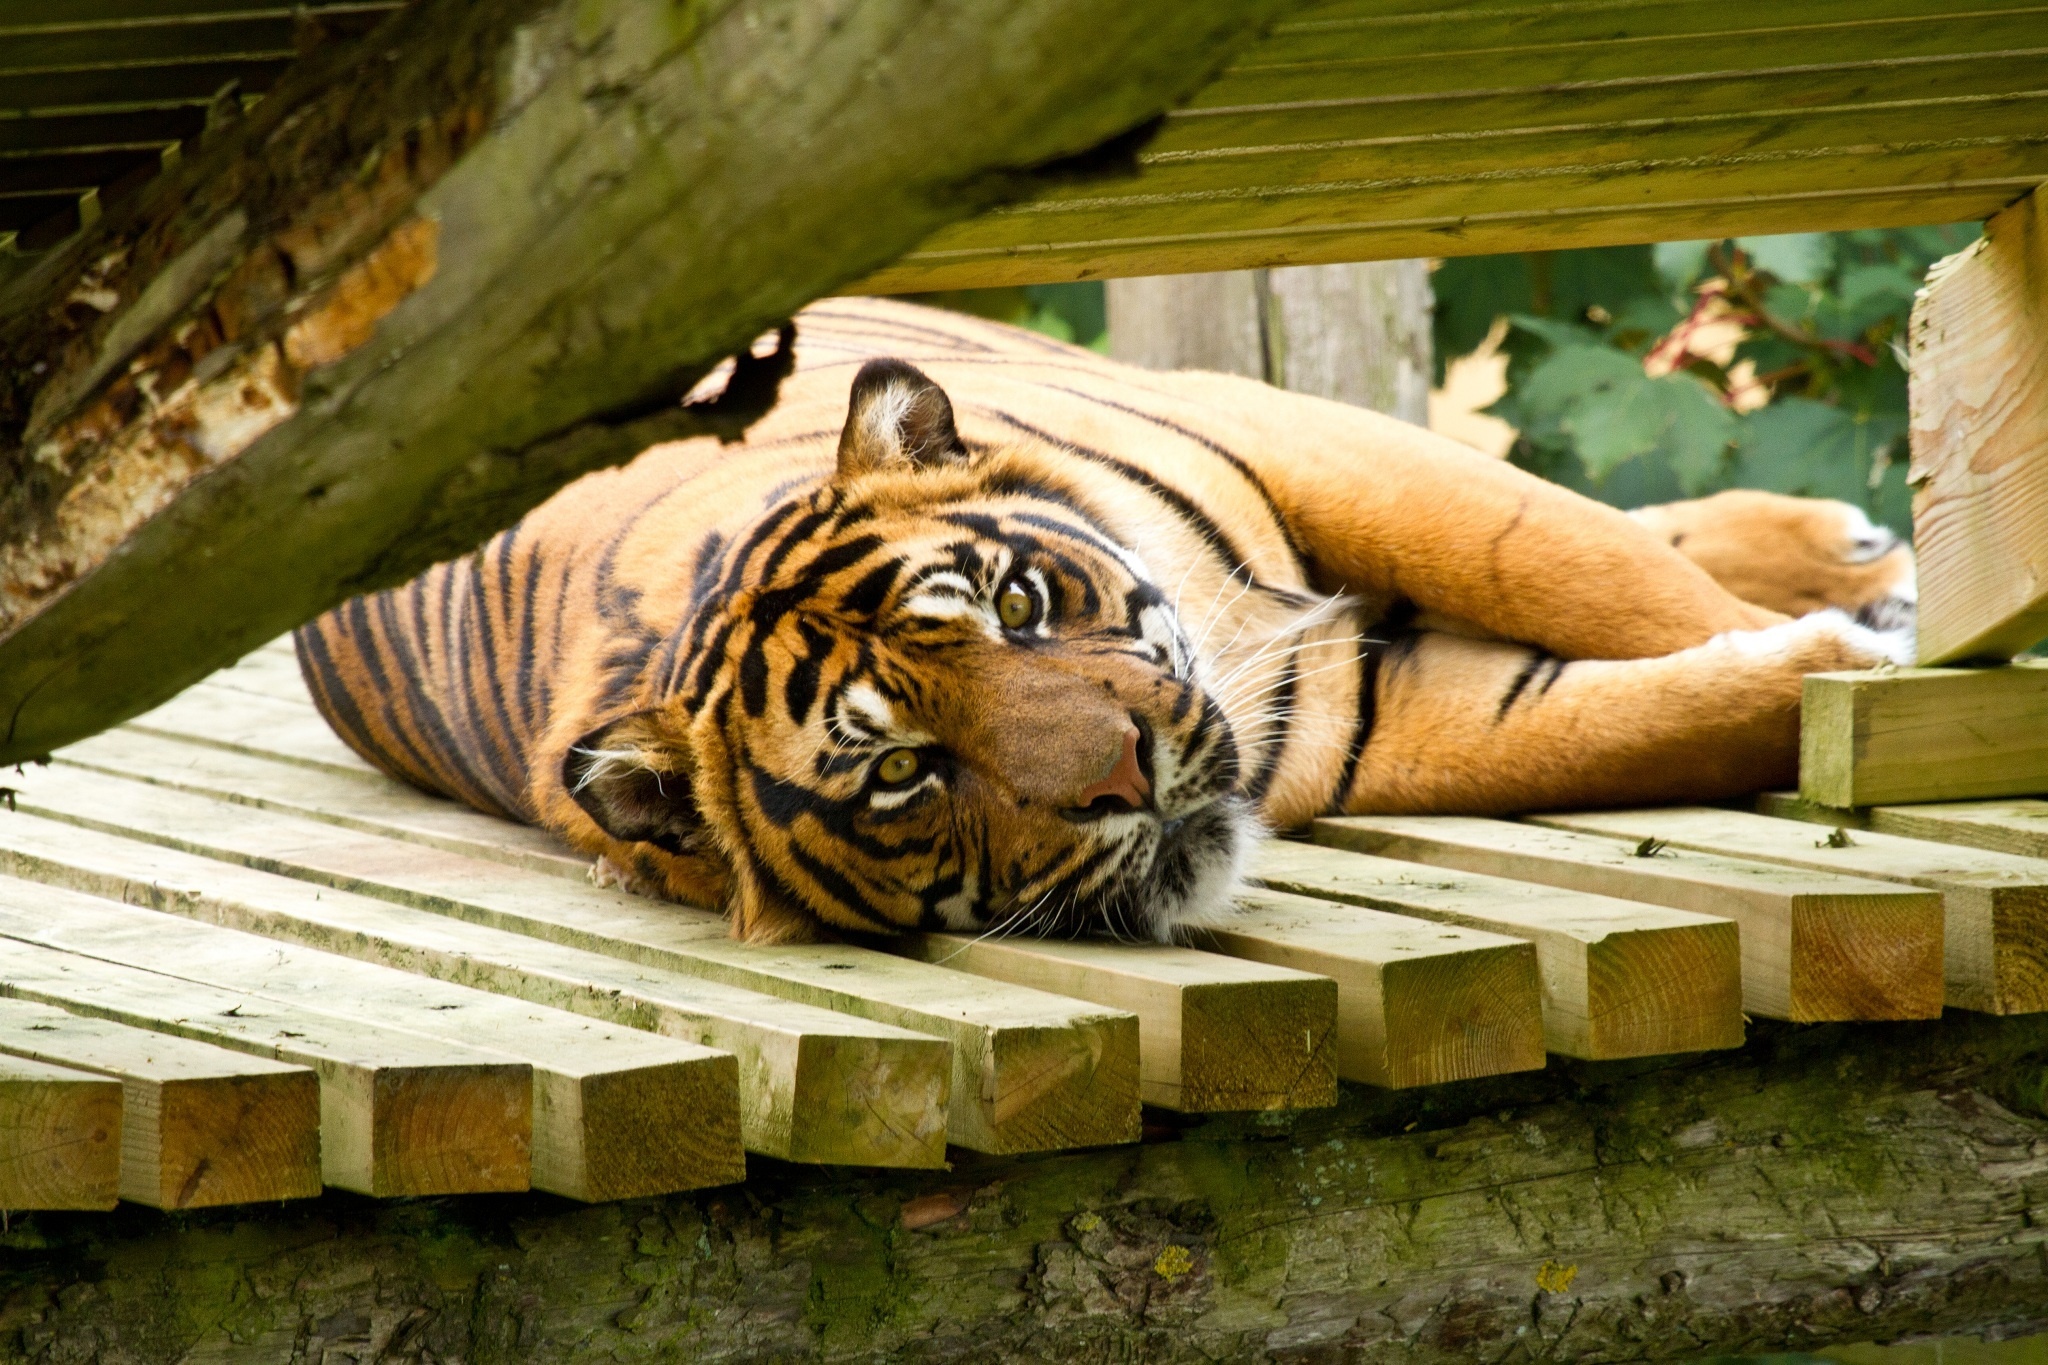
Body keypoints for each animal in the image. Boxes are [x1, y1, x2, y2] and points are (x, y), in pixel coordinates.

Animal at [294, 297, 1913, 945]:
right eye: (902, 772)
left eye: (1016, 608)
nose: (1128, 775)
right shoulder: (1361, 722)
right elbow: (1619, 720)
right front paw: (1829, 674)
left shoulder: (1319, 446)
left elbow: (1592, 575)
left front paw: (1880, 670)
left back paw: (1849, 549)